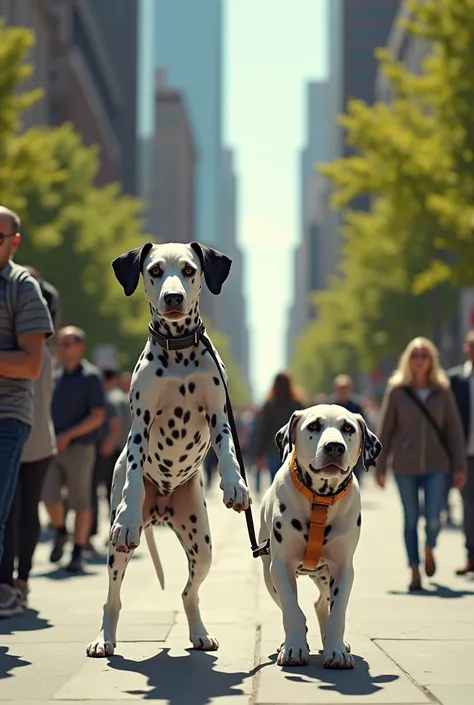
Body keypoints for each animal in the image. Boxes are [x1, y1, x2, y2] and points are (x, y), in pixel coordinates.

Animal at [87, 239, 254, 656]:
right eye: (155, 270)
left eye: (190, 269)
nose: (174, 297)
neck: (178, 350)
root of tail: (159, 511)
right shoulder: (140, 424)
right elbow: (133, 474)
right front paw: (129, 513)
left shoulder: (219, 413)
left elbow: (228, 453)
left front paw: (236, 486)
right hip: (117, 552)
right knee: (112, 598)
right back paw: (103, 638)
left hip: (202, 545)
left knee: (188, 593)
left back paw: (199, 632)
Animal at [260, 404, 382, 668]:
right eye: (314, 425)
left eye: (348, 428)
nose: (334, 447)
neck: (320, 500)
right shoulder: (280, 567)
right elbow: (292, 610)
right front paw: (294, 648)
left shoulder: (344, 569)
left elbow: (337, 614)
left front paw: (336, 651)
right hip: (268, 575)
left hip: (325, 577)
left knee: (320, 604)